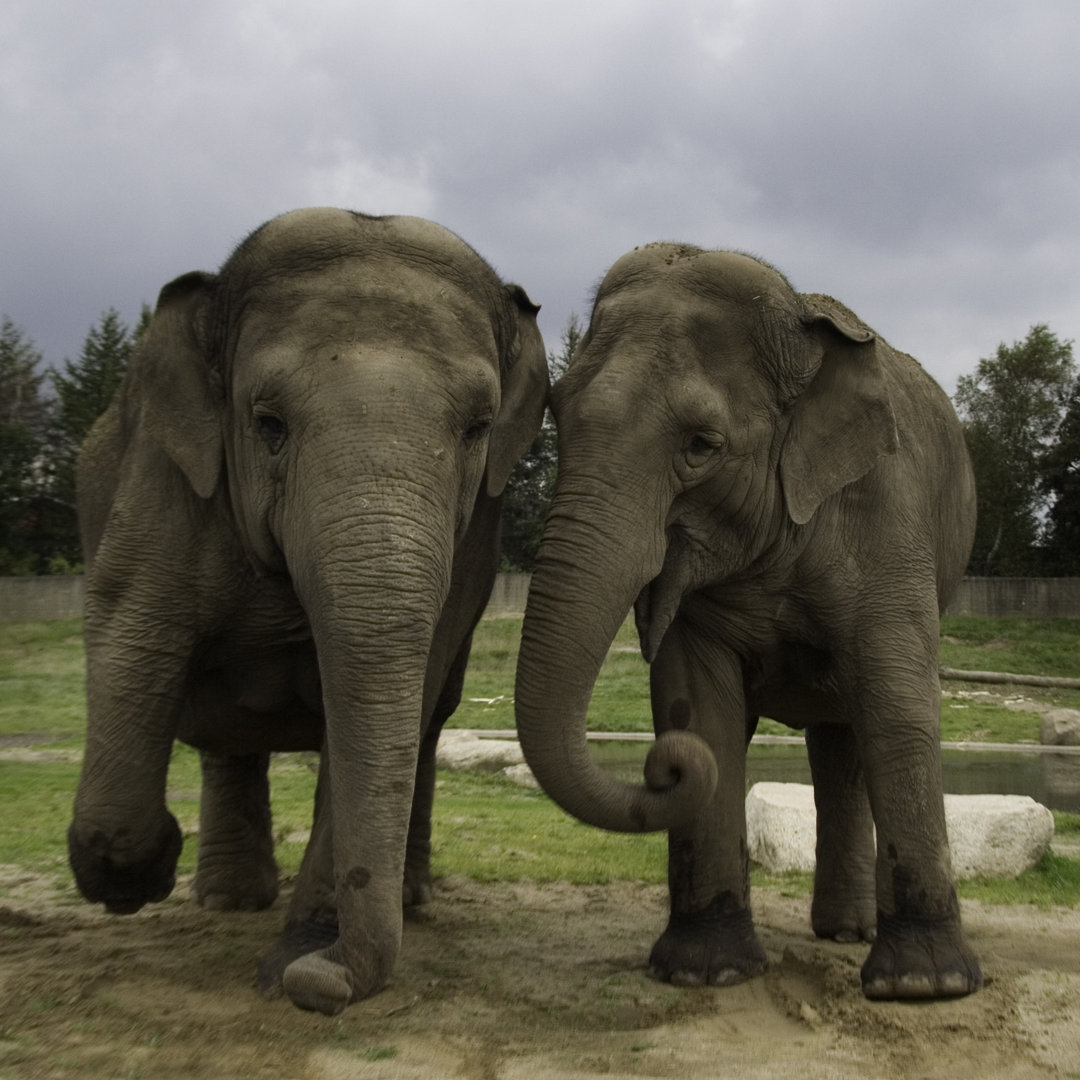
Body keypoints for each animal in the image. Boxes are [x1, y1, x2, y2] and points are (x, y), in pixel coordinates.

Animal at [67, 206, 548, 1015]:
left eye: (478, 429)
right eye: (268, 422)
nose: (328, 981)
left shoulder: (474, 533)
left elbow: (395, 693)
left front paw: (296, 963)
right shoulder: (162, 478)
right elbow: (133, 633)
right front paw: (140, 871)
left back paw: (403, 900)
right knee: (225, 740)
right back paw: (226, 901)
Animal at [511, 240, 980, 997]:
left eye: (701, 445)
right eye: (556, 409)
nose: (664, 768)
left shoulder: (889, 516)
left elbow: (898, 706)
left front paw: (923, 986)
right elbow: (702, 712)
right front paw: (704, 971)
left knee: (857, 730)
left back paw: (861, 941)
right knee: (837, 741)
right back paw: (843, 932)